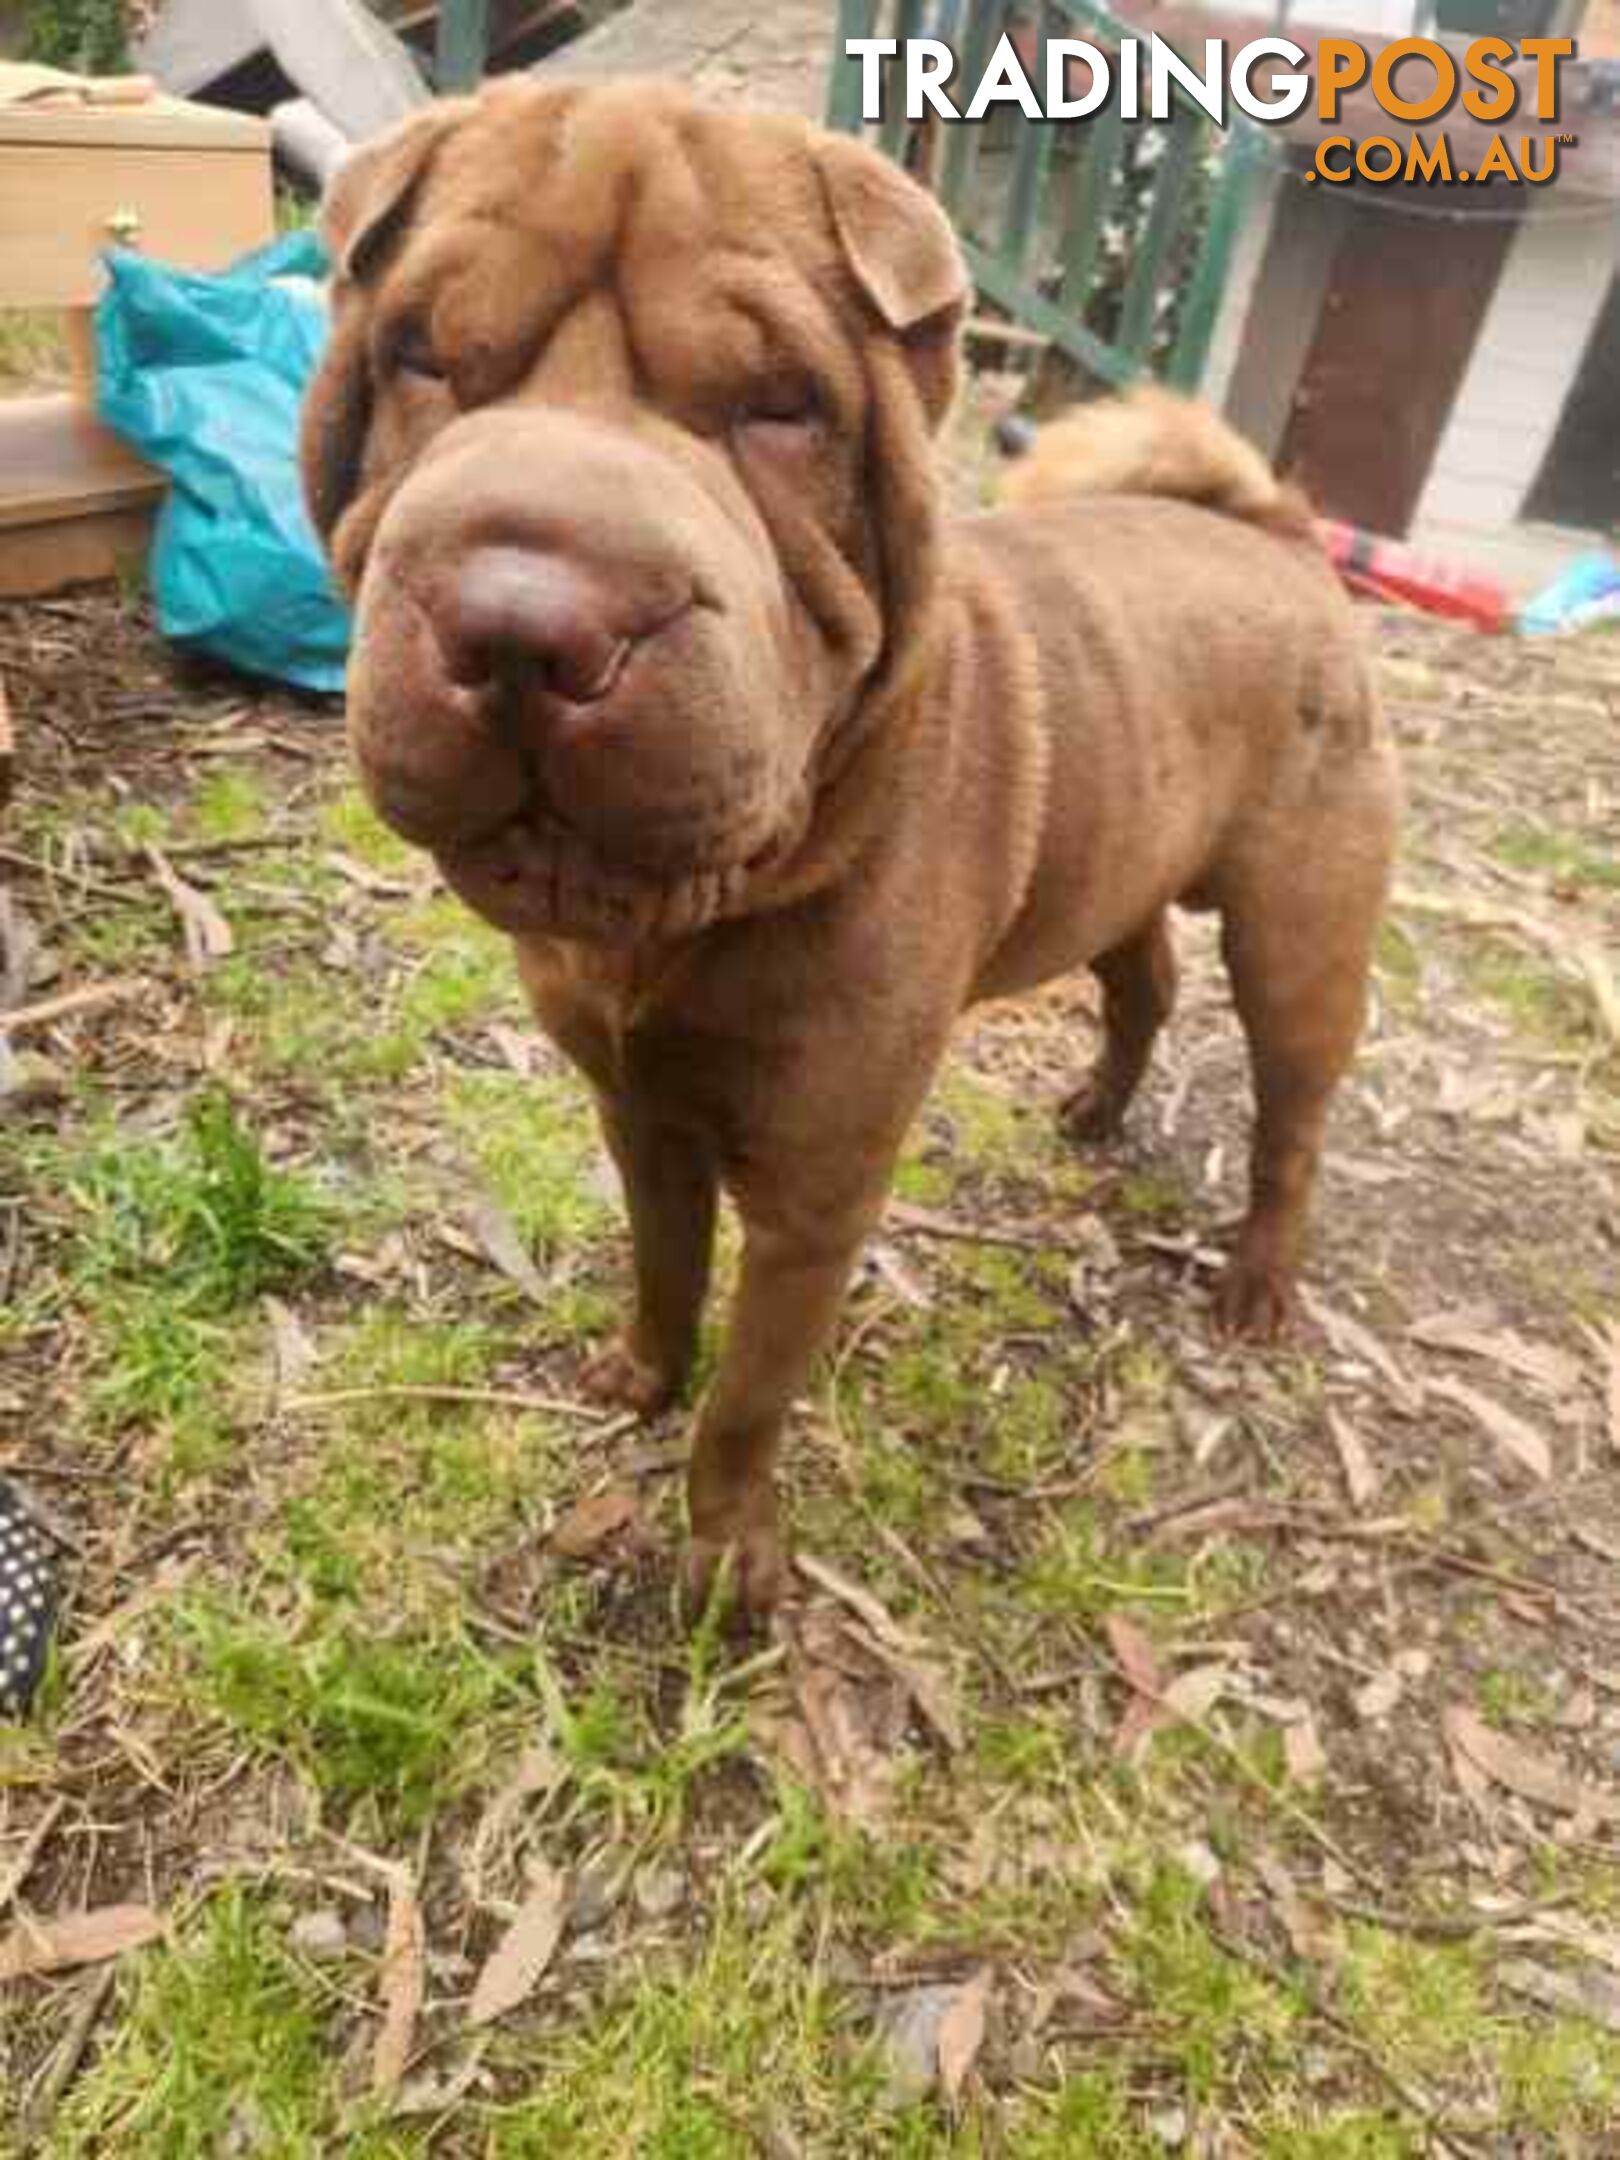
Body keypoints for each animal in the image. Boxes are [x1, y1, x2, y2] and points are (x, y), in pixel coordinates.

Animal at [302, 79, 1408, 1624]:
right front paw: (639, 1376)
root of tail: (1281, 540)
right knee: (1142, 981)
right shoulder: (638, 1113)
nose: (523, 620)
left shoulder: (816, 1193)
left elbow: (751, 1401)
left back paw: (1255, 1286)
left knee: (1290, 1116)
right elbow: (661, 1267)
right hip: (1123, 851)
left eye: (783, 406)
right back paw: (1096, 1109)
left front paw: (726, 1567)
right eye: (420, 355)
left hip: (1302, 935)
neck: (668, 930)